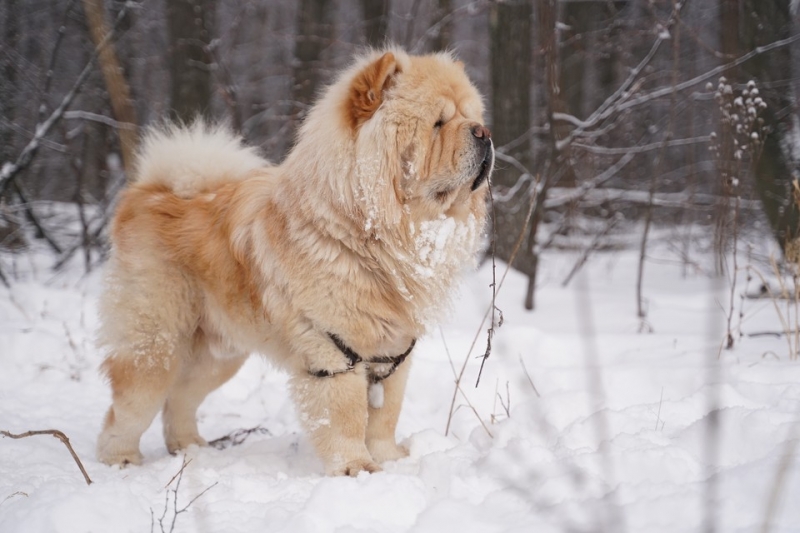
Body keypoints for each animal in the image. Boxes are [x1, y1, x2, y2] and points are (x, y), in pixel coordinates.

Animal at [97, 47, 490, 476]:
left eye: (473, 117)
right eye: (438, 123)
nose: (484, 133)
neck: (373, 237)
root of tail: (149, 189)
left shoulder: (393, 354)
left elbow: (385, 416)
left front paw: (389, 459)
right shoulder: (334, 350)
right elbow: (347, 417)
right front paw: (356, 469)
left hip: (219, 354)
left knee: (181, 398)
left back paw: (190, 449)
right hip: (157, 342)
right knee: (129, 405)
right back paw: (119, 459)